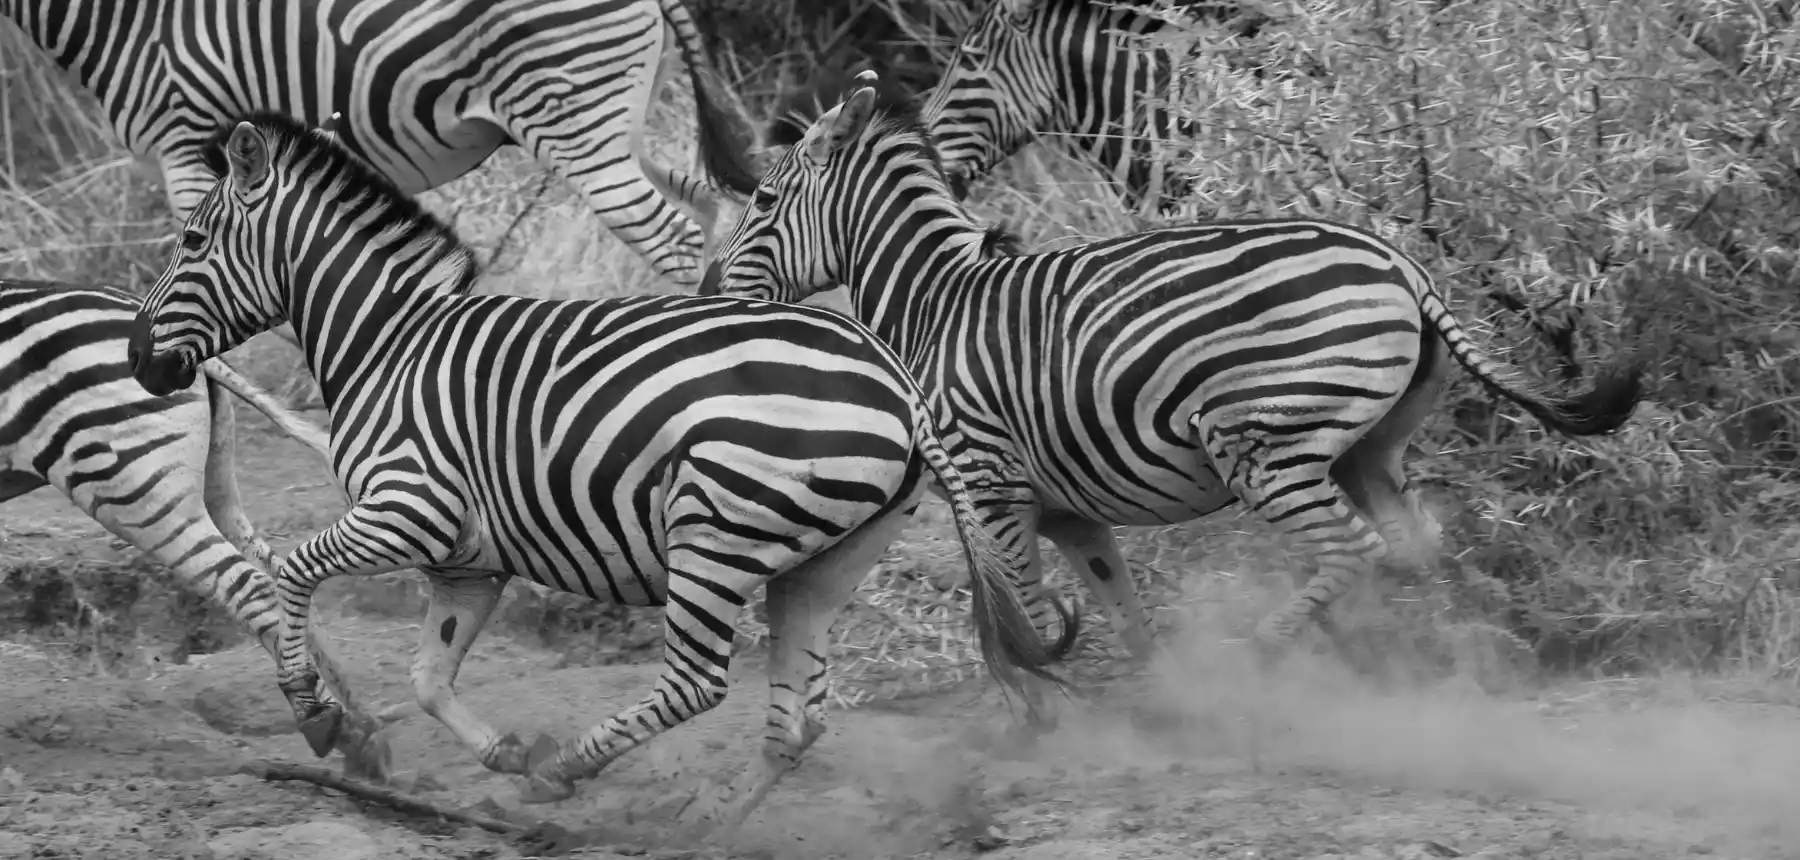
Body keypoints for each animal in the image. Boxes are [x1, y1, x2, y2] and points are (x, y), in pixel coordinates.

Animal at [0, 278, 392, 780]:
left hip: (136, 490)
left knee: (252, 586)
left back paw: (326, 722)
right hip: (212, 487)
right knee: (283, 575)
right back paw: (363, 733)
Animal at [1, 0, 759, 289]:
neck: (132, 18)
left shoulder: (185, 141)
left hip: (579, 124)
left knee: (670, 236)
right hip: (623, 126)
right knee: (707, 211)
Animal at [124, 112, 1061, 831]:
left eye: (193, 239)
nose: (137, 361)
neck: (387, 344)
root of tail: (893, 379)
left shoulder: (409, 508)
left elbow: (291, 572)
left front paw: (317, 715)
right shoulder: (468, 559)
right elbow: (427, 678)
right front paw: (499, 751)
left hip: (714, 526)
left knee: (697, 682)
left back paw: (573, 770)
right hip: (830, 562)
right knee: (796, 720)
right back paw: (706, 831)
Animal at [698, 72, 1645, 728]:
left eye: (764, 199)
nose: (712, 292)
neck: (934, 299)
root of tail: (1401, 267)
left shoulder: (987, 482)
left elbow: (1018, 611)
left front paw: (1042, 716)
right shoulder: (1066, 510)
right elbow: (1120, 608)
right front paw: (1153, 699)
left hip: (1261, 441)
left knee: (1353, 549)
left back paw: (1260, 659)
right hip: (1368, 448)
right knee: (1413, 545)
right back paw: (1435, 672)